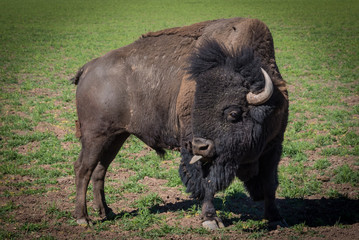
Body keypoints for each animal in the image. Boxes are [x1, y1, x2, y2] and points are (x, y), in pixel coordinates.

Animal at [72, 17, 290, 230]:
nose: (200, 145)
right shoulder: (201, 154)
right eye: (196, 108)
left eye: (234, 113)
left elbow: (270, 183)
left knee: (100, 169)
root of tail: (88, 67)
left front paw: (275, 217)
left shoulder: (273, 147)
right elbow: (207, 183)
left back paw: (106, 212)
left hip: (116, 137)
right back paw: (83, 218)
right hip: (95, 136)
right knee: (83, 168)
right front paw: (211, 220)